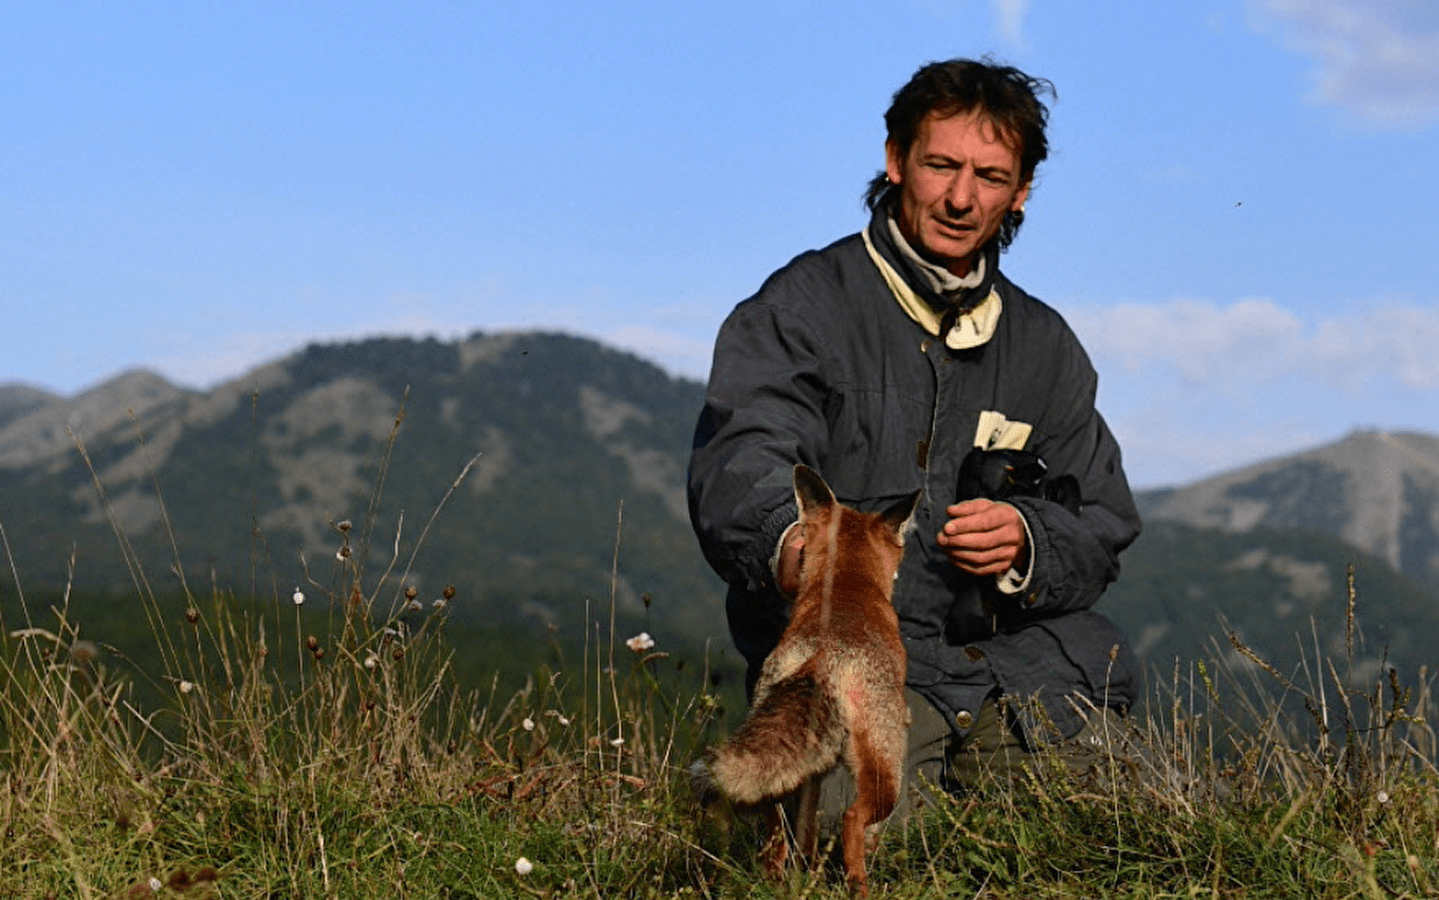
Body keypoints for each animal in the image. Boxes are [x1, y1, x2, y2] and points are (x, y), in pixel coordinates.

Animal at [696, 460, 920, 892]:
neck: (848, 586)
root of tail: (820, 657)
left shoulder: (814, 774)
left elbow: (807, 834)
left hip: (785, 776)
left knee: (775, 834)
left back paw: (776, 885)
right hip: (887, 771)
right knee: (852, 821)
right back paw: (860, 887)